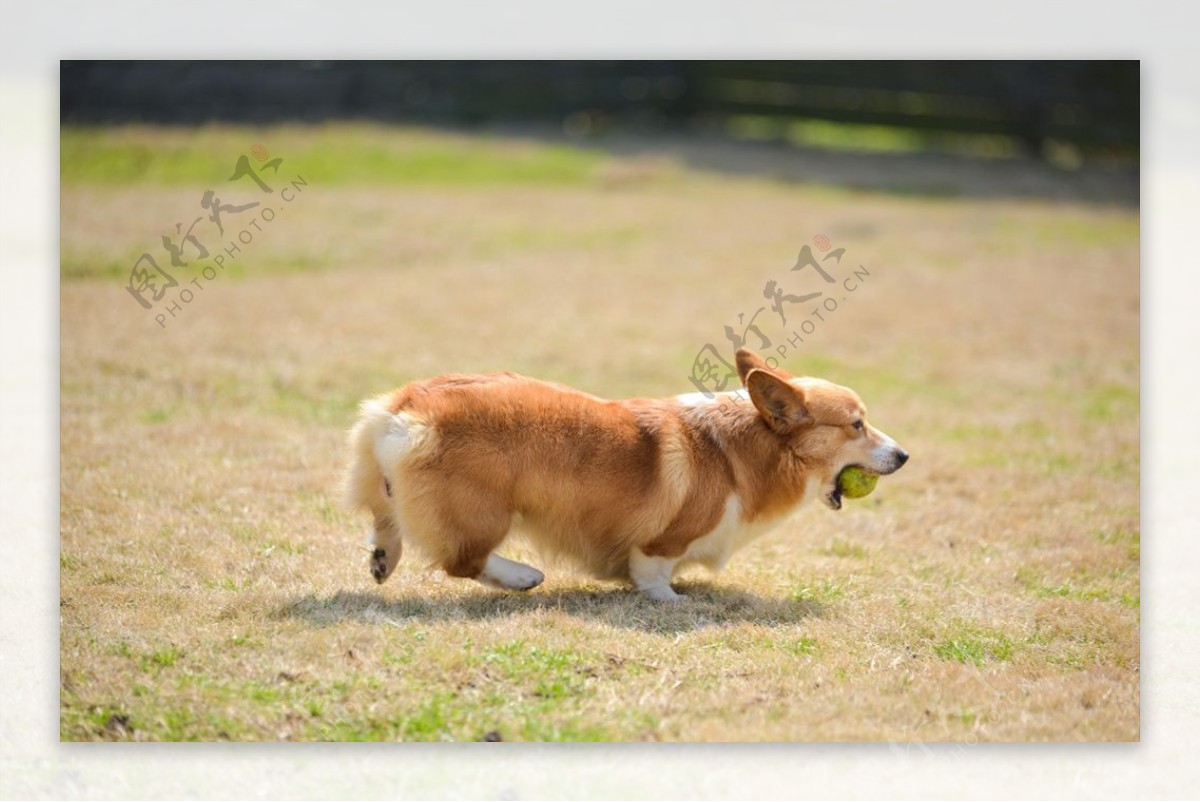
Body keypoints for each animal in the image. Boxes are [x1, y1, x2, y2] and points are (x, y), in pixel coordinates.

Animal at [343, 348, 902, 597]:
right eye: (857, 424)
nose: (903, 456)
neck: (750, 446)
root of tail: (402, 407)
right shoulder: (659, 544)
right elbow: (653, 574)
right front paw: (670, 600)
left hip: (384, 482)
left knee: (385, 519)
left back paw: (382, 560)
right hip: (485, 509)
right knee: (463, 559)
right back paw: (523, 577)